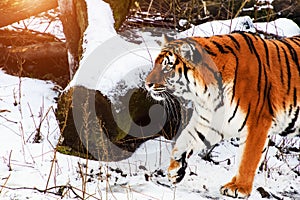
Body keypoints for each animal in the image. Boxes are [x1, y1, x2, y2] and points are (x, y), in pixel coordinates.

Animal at [144, 32, 298, 198]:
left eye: (167, 66)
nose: (147, 84)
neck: (205, 93)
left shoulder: (257, 123)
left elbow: (247, 159)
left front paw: (239, 187)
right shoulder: (209, 121)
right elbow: (184, 139)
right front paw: (175, 170)